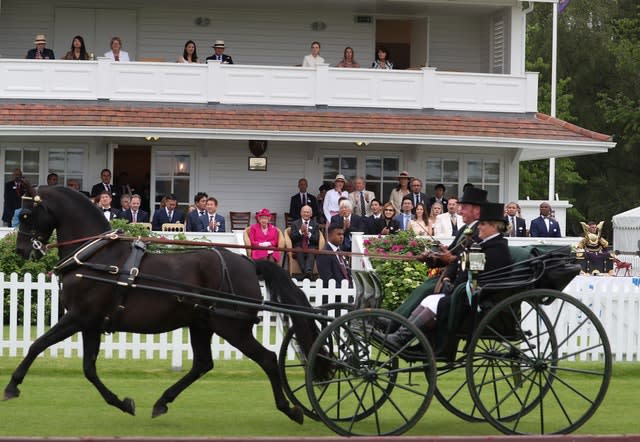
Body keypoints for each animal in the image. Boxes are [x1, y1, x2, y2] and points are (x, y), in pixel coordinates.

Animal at [2, 185, 322, 424]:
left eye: (26, 214)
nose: (22, 250)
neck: (96, 257)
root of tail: (247, 264)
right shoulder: (90, 323)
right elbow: (89, 368)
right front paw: (122, 402)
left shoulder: (78, 317)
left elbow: (38, 345)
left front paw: (12, 385)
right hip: (202, 324)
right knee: (203, 364)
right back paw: (162, 401)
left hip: (232, 328)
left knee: (267, 359)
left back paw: (290, 409)